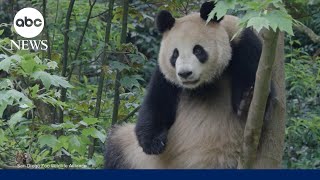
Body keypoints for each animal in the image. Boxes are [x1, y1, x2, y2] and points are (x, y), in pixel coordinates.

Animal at [104, 1, 264, 169]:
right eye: (175, 54)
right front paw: (153, 143)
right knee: (116, 146)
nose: (185, 73)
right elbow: (156, 103)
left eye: (198, 50)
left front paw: (246, 100)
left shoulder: (246, 46)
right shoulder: (165, 76)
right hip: (136, 156)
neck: (202, 87)